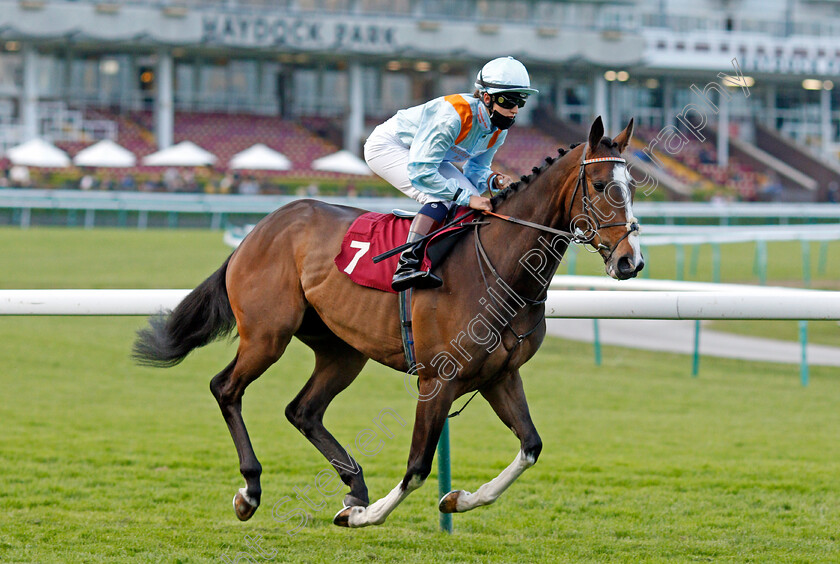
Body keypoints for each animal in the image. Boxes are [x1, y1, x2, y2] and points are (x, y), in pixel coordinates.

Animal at [135, 117, 644, 528]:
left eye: (634, 186)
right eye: (602, 185)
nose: (630, 261)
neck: (501, 264)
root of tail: (261, 228)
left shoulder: (500, 375)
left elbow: (531, 446)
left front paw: (456, 499)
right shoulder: (438, 379)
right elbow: (417, 466)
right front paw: (365, 516)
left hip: (342, 349)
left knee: (302, 410)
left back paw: (353, 488)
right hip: (267, 335)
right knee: (226, 388)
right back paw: (252, 490)